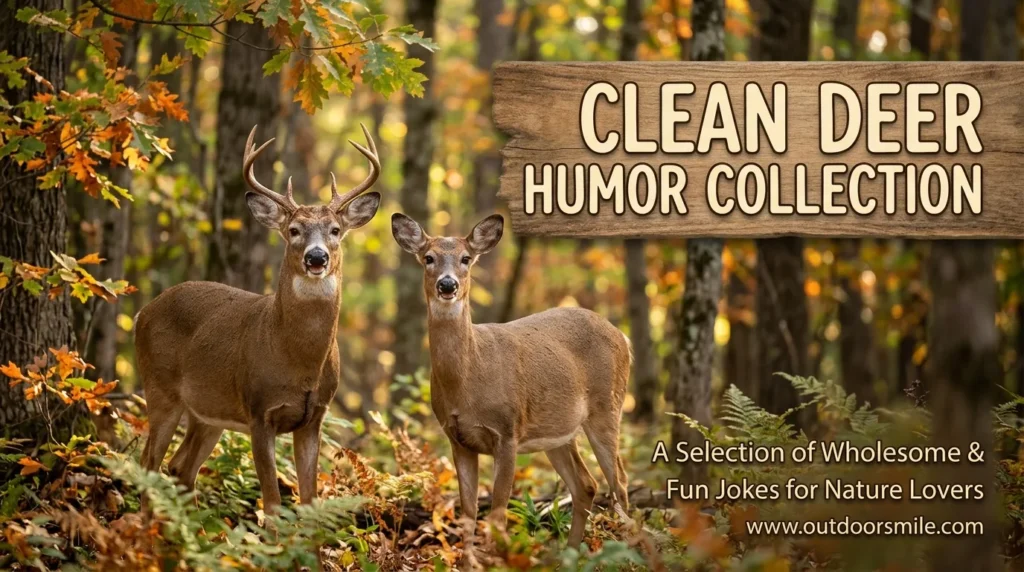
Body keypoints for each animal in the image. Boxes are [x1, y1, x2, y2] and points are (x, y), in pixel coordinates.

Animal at [134, 125, 381, 513]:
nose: (316, 257)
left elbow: (309, 499)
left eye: (335, 230)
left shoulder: (314, 417)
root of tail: (143, 312)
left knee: (180, 468)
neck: (299, 360)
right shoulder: (258, 410)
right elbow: (273, 502)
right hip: (160, 388)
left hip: (207, 412)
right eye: (294, 230)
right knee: (149, 463)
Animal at [391, 213, 631, 550]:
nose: (448, 284)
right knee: (586, 484)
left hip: (607, 406)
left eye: (466, 258)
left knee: (619, 481)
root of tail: (622, 335)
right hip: (558, 431)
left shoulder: (507, 431)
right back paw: (571, 552)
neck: (468, 379)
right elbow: (469, 513)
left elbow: (497, 515)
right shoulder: (457, 438)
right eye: (428, 258)